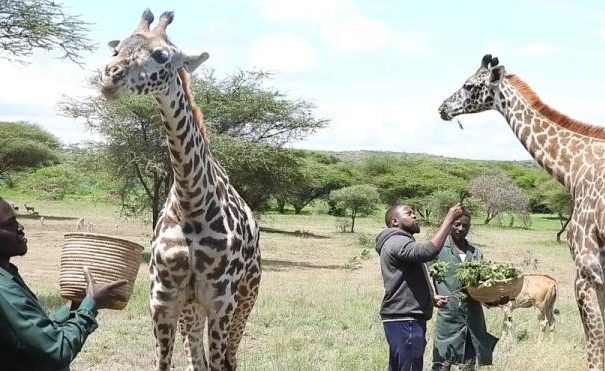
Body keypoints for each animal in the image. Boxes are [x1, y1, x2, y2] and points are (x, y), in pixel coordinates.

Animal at [99, 8, 260, 371]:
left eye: (161, 56)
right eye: (116, 49)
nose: (110, 77)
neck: (192, 203)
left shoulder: (220, 301)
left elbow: (218, 364)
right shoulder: (163, 300)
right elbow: (167, 363)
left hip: (247, 295)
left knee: (230, 358)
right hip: (191, 307)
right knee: (197, 358)